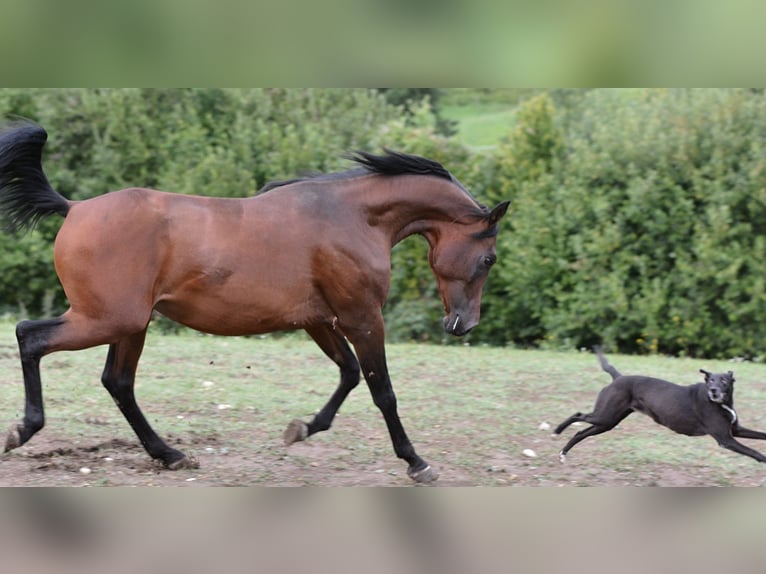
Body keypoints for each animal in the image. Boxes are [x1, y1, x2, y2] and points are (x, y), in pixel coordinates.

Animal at [0, 121, 509, 483]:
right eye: (489, 258)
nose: (463, 324)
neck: (352, 217)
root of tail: (74, 208)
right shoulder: (362, 318)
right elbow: (382, 390)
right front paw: (417, 462)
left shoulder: (321, 320)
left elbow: (348, 375)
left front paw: (302, 429)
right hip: (107, 318)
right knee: (30, 336)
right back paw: (23, 430)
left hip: (130, 325)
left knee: (117, 382)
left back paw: (171, 455)